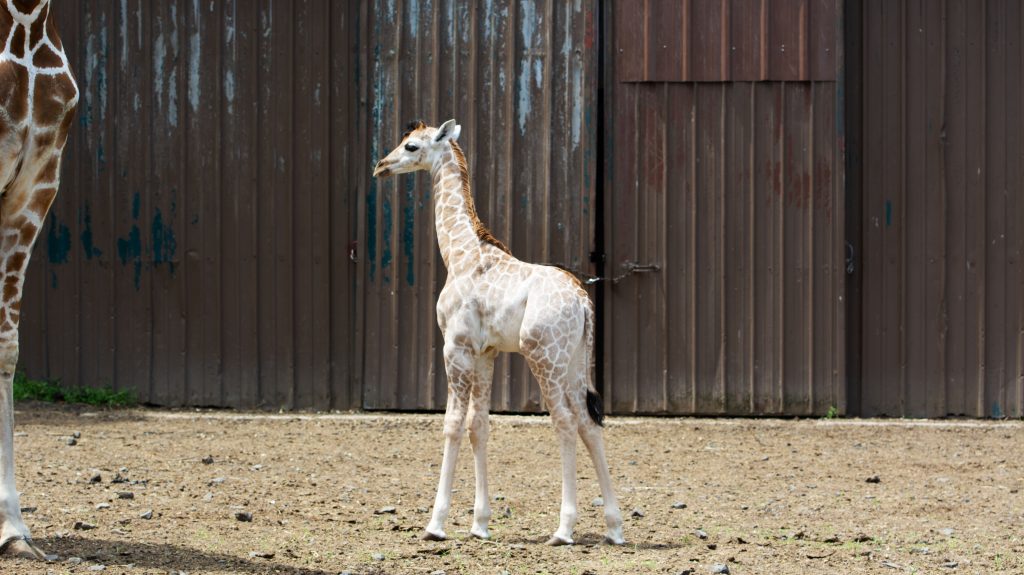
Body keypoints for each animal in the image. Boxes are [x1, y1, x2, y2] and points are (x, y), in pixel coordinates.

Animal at [373, 119, 624, 546]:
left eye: (411, 146)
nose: (381, 166)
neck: (458, 255)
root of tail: (583, 304)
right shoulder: (485, 352)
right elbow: (480, 426)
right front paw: (480, 524)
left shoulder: (454, 348)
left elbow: (453, 425)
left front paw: (436, 524)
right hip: (574, 363)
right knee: (589, 424)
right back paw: (614, 527)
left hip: (543, 357)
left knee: (565, 422)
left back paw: (563, 529)